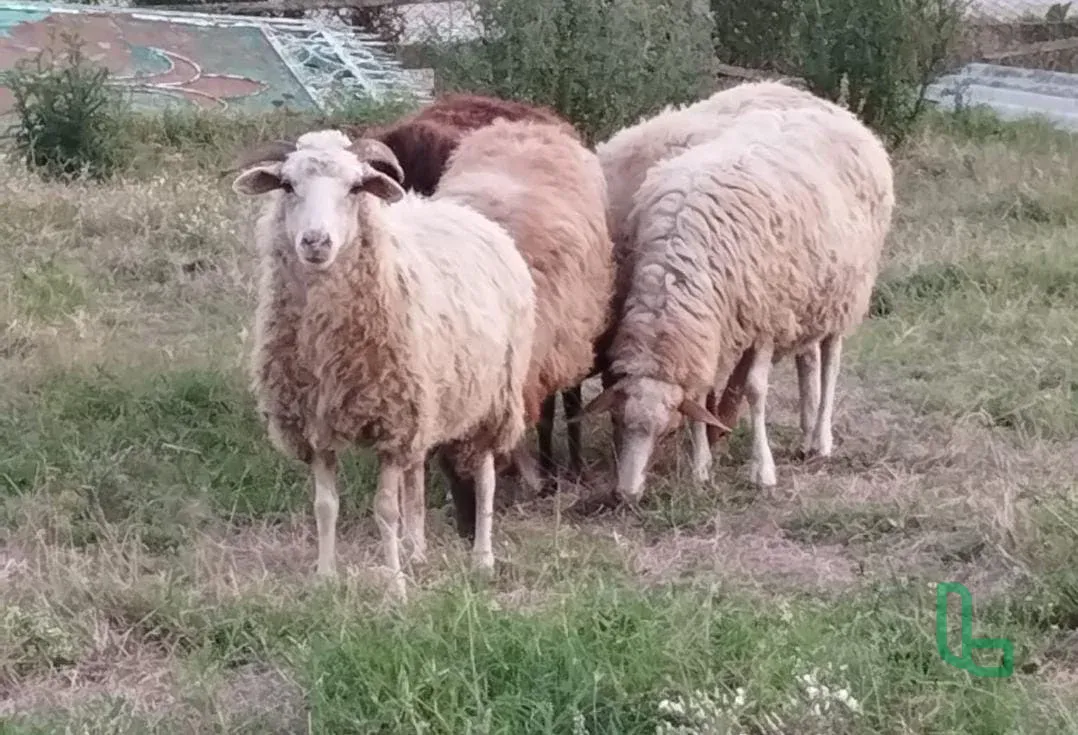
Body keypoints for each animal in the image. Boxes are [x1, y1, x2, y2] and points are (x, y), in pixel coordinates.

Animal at [231, 130, 536, 598]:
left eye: (356, 188)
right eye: (287, 185)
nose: (315, 242)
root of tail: (464, 212)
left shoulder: (392, 425)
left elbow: (385, 509)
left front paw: (395, 588)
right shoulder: (318, 424)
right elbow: (326, 506)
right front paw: (325, 578)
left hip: (493, 398)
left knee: (484, 475)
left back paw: (482, 557)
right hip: (425, 400)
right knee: (417, 474)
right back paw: (415, 550)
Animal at [429, 117, 615, 537]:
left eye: (486, 466)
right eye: (443, 466)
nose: (467, 532)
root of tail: (523, 124)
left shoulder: (557, 345)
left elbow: (556, 414)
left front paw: (554, 475)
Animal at [578, 103, 895, 504]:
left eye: (667, 431)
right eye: (618, 421)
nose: (626, 495)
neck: (678, 265)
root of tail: (839, 113)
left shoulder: (763, 318)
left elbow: (755, 391)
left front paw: (763, 470)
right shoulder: (713, 327)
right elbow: (701, 395)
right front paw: (701, 468)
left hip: (844, 291)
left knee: (831, 361)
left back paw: (822, 438)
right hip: (807, 296)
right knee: (807, 359)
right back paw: (806, 434)